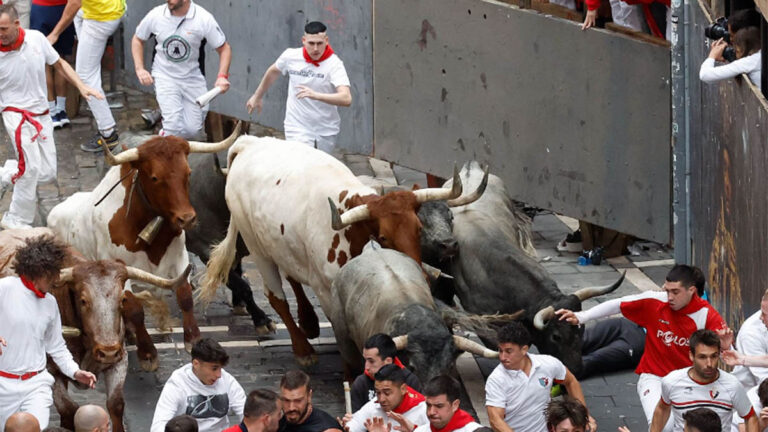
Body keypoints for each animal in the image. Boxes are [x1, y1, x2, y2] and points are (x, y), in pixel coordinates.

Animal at [45, 124, 243, 364]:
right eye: (155, 177)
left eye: (188, 173)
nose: (187, 219)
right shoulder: (119, 270)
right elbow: (134, 309)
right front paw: (148, 352)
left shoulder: (180, 259)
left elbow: (185, 295)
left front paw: (192, 339)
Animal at [201, 138, 484, 364]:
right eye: (383, 236)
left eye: (418, 228)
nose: (421, 274)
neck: (352, 230)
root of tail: (248, 143)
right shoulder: (327, 291)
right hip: (257, 247)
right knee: (276, 297)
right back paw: (303, 349)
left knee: (292, 275)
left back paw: (309, 323)